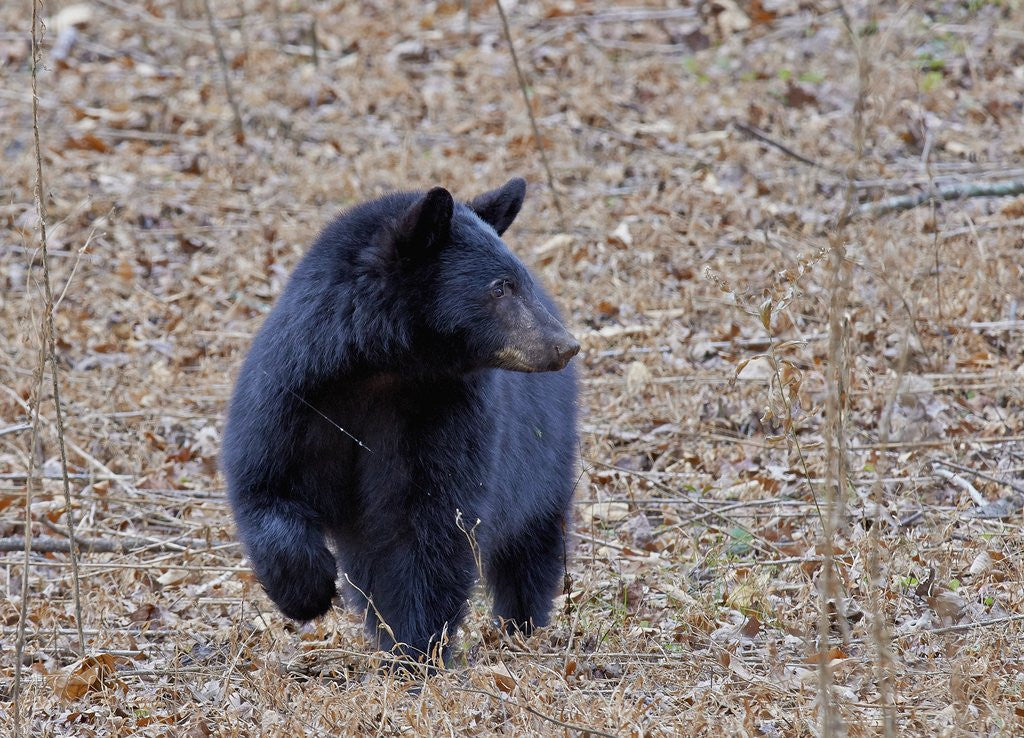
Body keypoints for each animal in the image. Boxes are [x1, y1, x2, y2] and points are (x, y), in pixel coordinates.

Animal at [221, 178, 580, 667]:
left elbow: (430, 520)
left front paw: (417, 647)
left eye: (517, 281)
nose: (565, 345)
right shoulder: (293, 393)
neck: (379, 367)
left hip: (545, 453)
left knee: (531, 544)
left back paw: (520, 624)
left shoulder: (445, 410)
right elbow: (265, 482)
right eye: (501, 287)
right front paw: (308, 592)